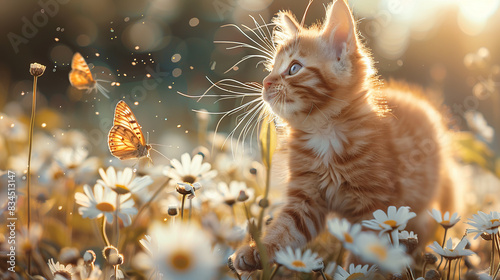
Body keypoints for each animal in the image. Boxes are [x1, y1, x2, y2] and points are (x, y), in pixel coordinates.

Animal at [231, 0, 458, 272]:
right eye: (271, 69)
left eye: (293, 68)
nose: (265, 83)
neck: (324, 133)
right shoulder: (305, 198)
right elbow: (284, 229)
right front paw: (257, 251)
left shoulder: (376, 210)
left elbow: (366, 255)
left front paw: (353, 273)